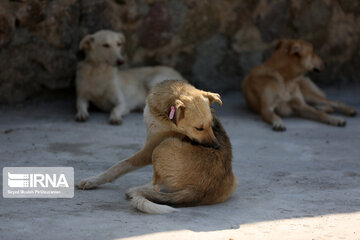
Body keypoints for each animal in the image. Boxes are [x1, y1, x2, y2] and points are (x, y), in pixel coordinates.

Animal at [77, 80, 238, 214]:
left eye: (211, 124)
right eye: (199, 128)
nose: (217, 146)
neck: (161, 112)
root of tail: (202, 190)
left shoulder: (149, 149)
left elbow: (119, 166)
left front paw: (92, 181)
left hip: (163, 146)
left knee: (156, 185)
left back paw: (137, 190)